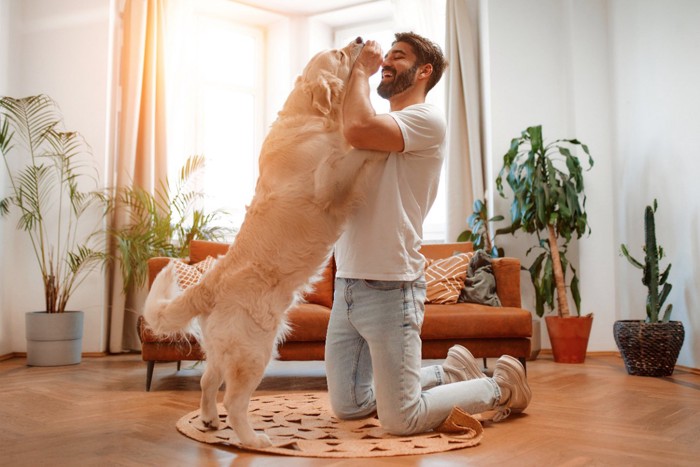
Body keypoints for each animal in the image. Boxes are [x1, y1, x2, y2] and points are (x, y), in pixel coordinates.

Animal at [142, 37, 382, 450]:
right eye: (338, 55)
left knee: (207, 381)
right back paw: (254, 439)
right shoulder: (328, 182)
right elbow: (355, 152)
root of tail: (209, 283)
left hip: (223, 349)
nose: (359, 40)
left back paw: (209, 420)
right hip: (256, 349)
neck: (310, 116)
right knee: (234, 401)